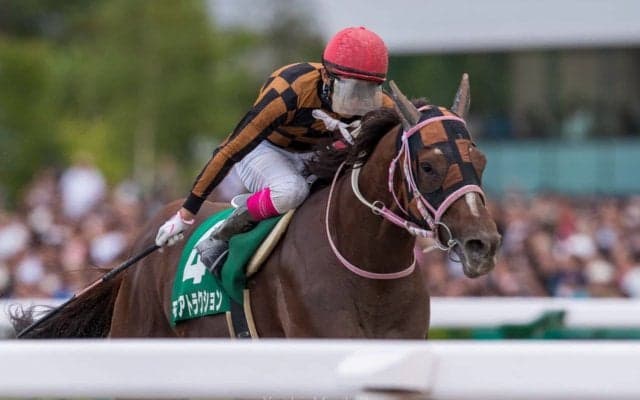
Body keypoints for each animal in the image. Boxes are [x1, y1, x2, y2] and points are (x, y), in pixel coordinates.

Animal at [12, 76, 501, 339]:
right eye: (429, 165)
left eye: (480, 161)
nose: (484, 243)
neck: (368, 265)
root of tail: (138, 249)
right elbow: (233, 148)